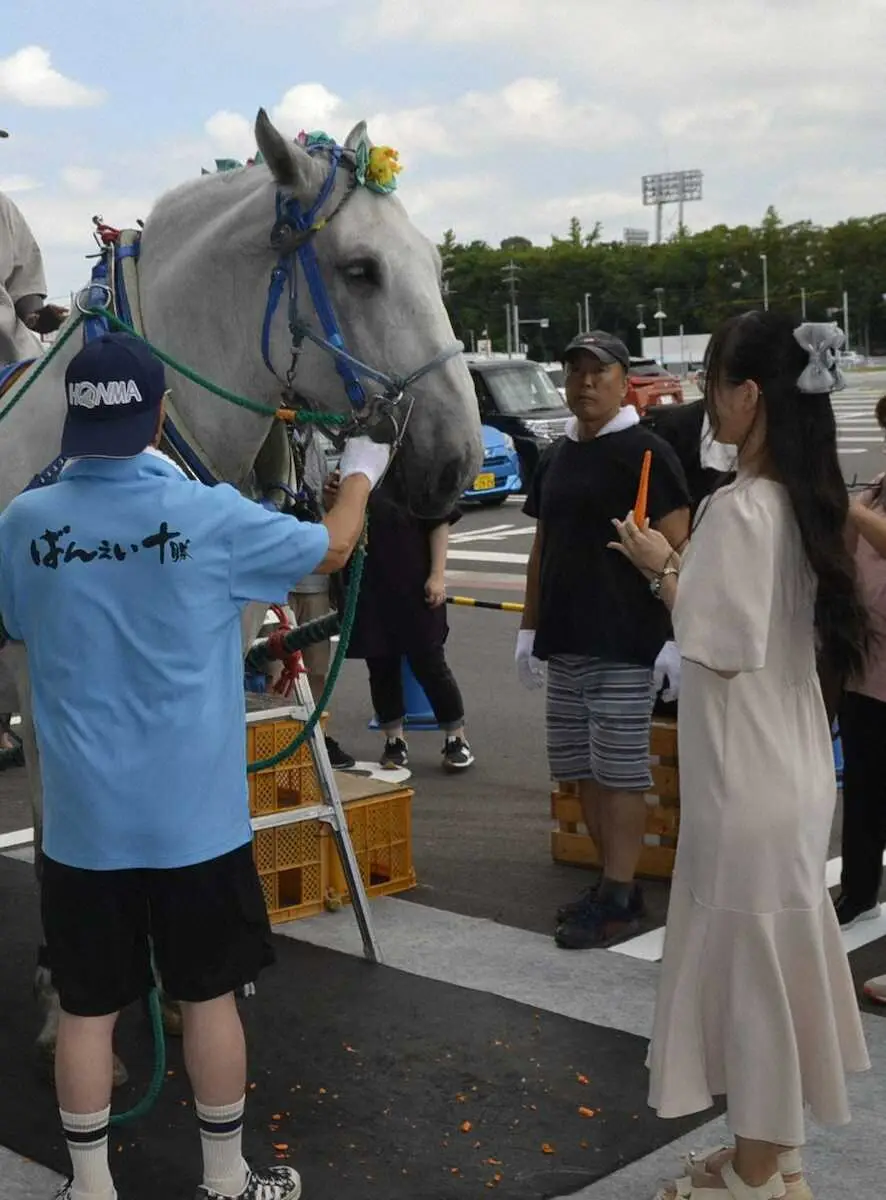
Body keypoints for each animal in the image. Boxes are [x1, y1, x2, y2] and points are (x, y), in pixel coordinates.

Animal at [0, 108, 482, 1075]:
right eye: (360, 269)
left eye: (436, 266)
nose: (457, 462)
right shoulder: (42, 672)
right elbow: (54, 817)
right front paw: (64, 999)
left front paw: (174, 996)